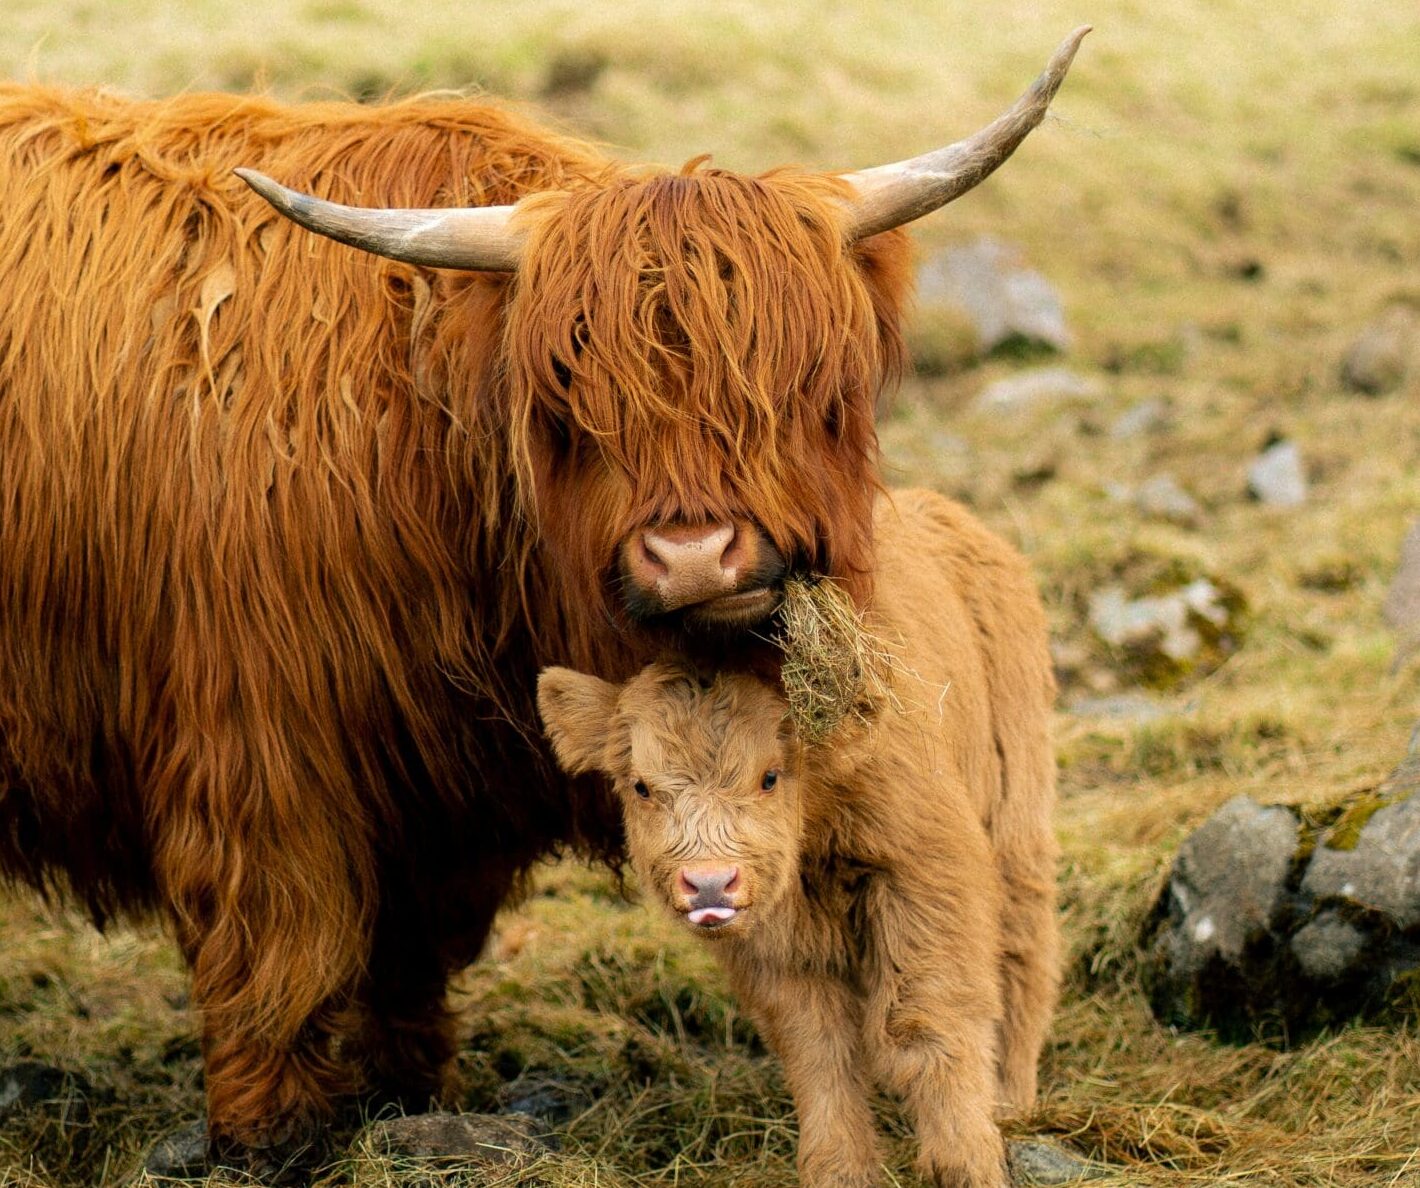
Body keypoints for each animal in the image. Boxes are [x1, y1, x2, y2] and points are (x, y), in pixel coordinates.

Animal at [537, 489, 1060, 1188]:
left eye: (769, 775)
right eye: (641, 786)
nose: (709, 883)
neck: (814, 821)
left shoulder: (925, 877)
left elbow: (930, 1022)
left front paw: (966, 1163)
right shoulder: (777, 947)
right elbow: (818, 1050)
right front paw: (841, 1170)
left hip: (1015, 813)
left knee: (1025, 945)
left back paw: (1012, 1098)